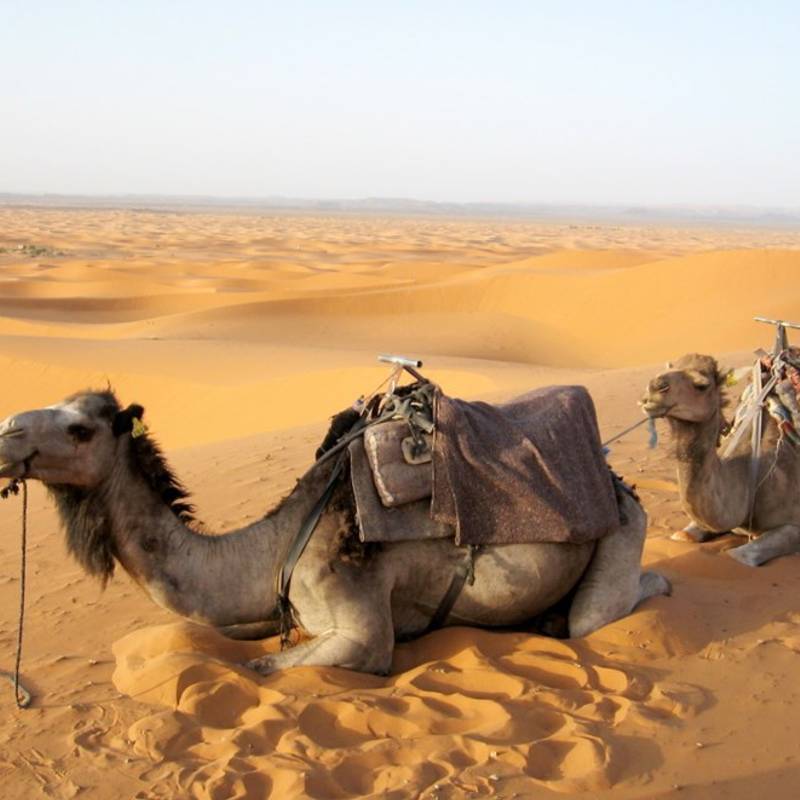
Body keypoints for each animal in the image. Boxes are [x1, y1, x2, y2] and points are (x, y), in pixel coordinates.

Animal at [0, 390, 670, 675]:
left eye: (81, 428)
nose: (6, 431)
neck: (275, 544)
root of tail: (614, 476)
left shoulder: (360, 627)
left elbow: (264, 668)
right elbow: (235, 637)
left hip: (622, 530)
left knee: (610, 606)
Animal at [641, 353, 800, 566]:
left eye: (701, 385)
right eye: (669, 367)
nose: (654, 387)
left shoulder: (794, 524)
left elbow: (739, 556)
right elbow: (682, 536)